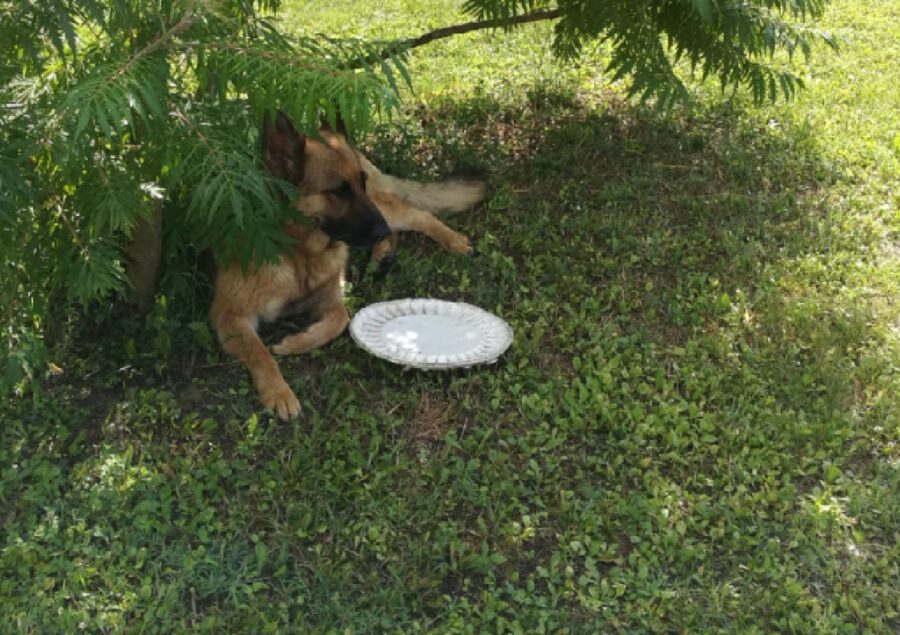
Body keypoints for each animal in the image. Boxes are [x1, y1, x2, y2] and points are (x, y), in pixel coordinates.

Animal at [209, 113, 486, 422]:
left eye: (359, 184)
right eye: (339, 191)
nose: (379, 229)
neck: (299, 252)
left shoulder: (330, 296)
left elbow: (340, 318)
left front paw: (296, 343)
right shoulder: (230, 317)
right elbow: (260, 352)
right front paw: (279, 392)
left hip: (384, 208)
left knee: (418, 215)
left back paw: (450, 240)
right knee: (399, 227)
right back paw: (382, 255)